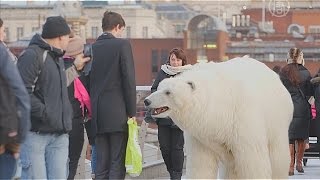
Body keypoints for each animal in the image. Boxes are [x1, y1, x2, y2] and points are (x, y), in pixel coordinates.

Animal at [144, 57, 292, 179]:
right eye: (159, 87)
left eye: (168, 92)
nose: (147, 101)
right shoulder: (203, 135)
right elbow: (201, 164)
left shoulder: (243, 119)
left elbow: (252, 162)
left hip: (276, 121)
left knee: (278, 158)